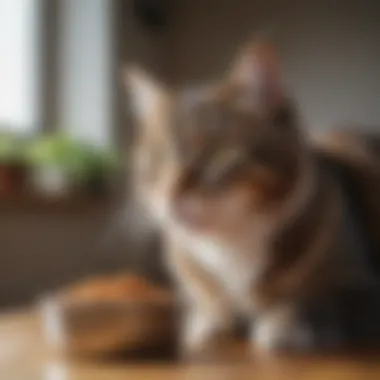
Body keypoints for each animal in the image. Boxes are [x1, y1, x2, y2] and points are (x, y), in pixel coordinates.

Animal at [124, 38, 380, 356]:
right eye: (157, 159)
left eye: (216, 156)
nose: (171, 193)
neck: (229, 244)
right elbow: (208, 305)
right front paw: (208, 322)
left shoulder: (363, 287)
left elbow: (318, 303)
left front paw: (282, 323)